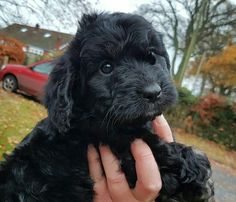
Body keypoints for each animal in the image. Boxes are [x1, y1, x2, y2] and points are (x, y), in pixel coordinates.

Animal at [0, 13, 214, 202]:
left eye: (152, 57)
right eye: (106, 68)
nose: (153, 92)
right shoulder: (119, 146)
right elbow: (161, 151)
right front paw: (197, 170)